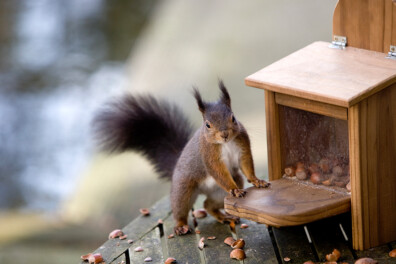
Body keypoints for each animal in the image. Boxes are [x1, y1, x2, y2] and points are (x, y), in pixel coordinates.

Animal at [93, 81, 270, 235]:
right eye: (207, 124)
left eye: (233, 117)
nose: (224, 134)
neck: (225, 143)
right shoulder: (209, 155)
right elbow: (217, 171)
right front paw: (235, 189)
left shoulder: (242, 146)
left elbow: (246, 163)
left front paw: (257, 181)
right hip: (183, 189)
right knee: (180, 208)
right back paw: (181, 226)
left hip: (223, 190)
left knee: (208, 205)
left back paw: (224, 216)